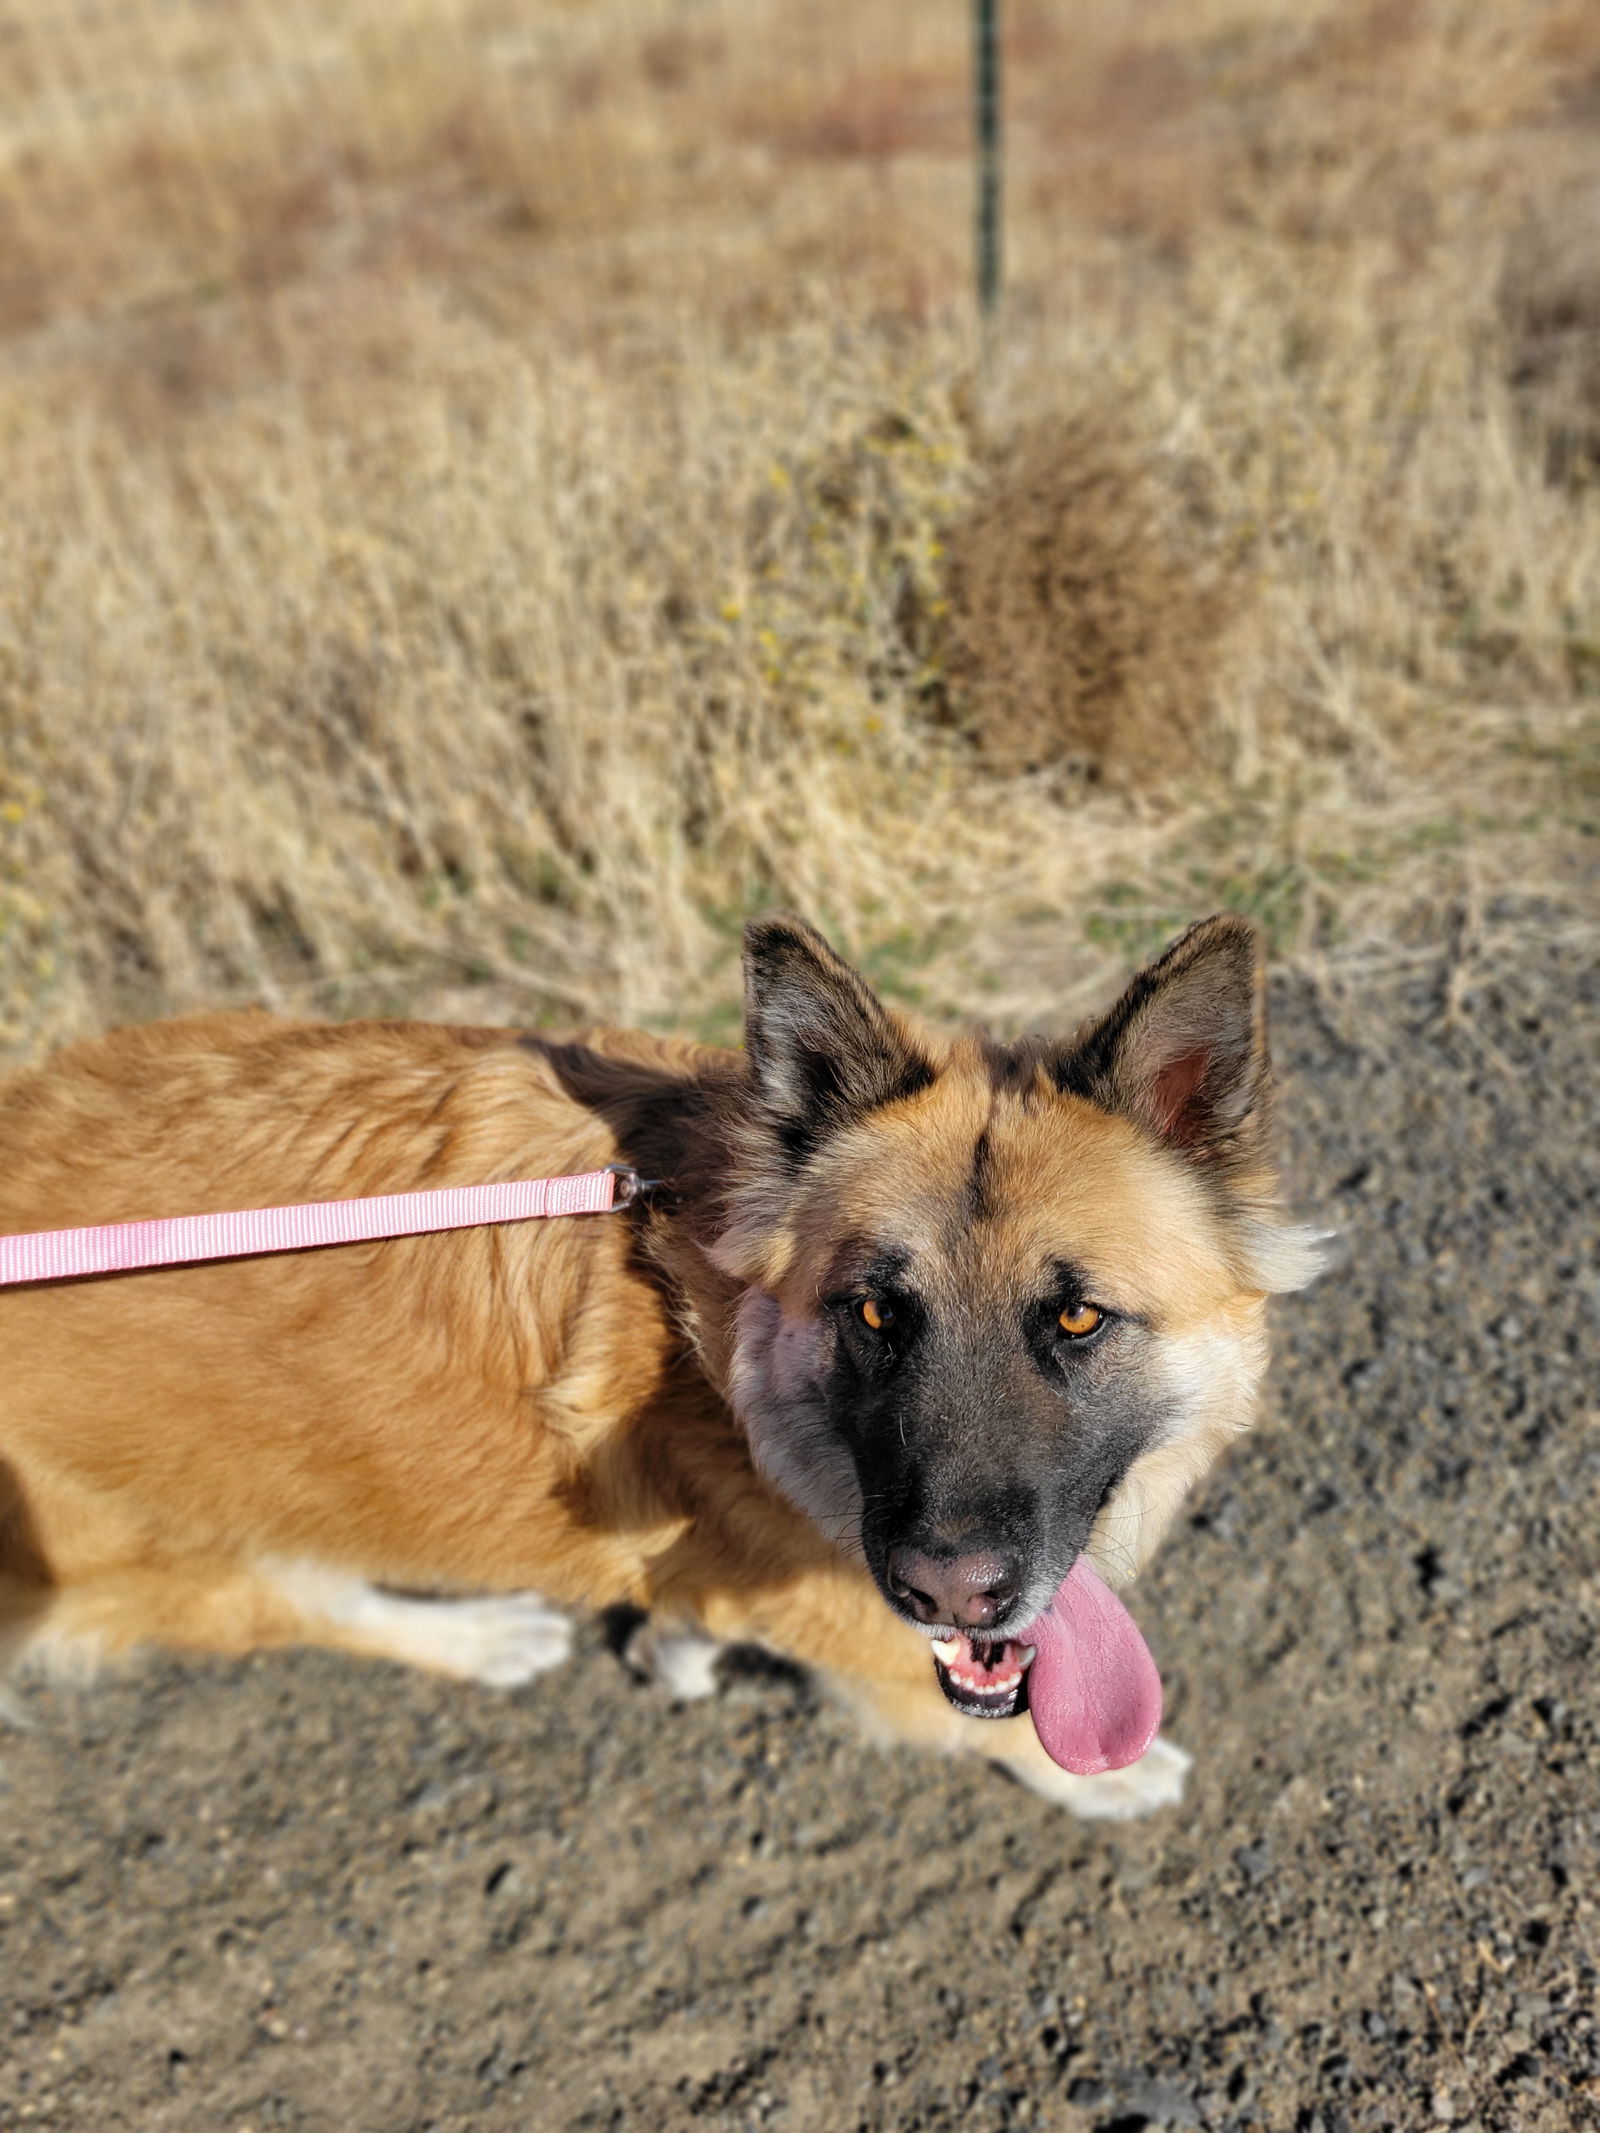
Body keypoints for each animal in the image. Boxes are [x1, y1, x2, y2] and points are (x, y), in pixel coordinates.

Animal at [0, 912, 1331, 1817]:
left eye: (1077, 1321)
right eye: (872, 1314)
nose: (948, 1594)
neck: (710, 1338)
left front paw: (677, 1642)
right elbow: (987, 1724)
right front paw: (1100, 1780)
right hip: (152, 1545)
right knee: (302, 1602)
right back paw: (482, 1638)